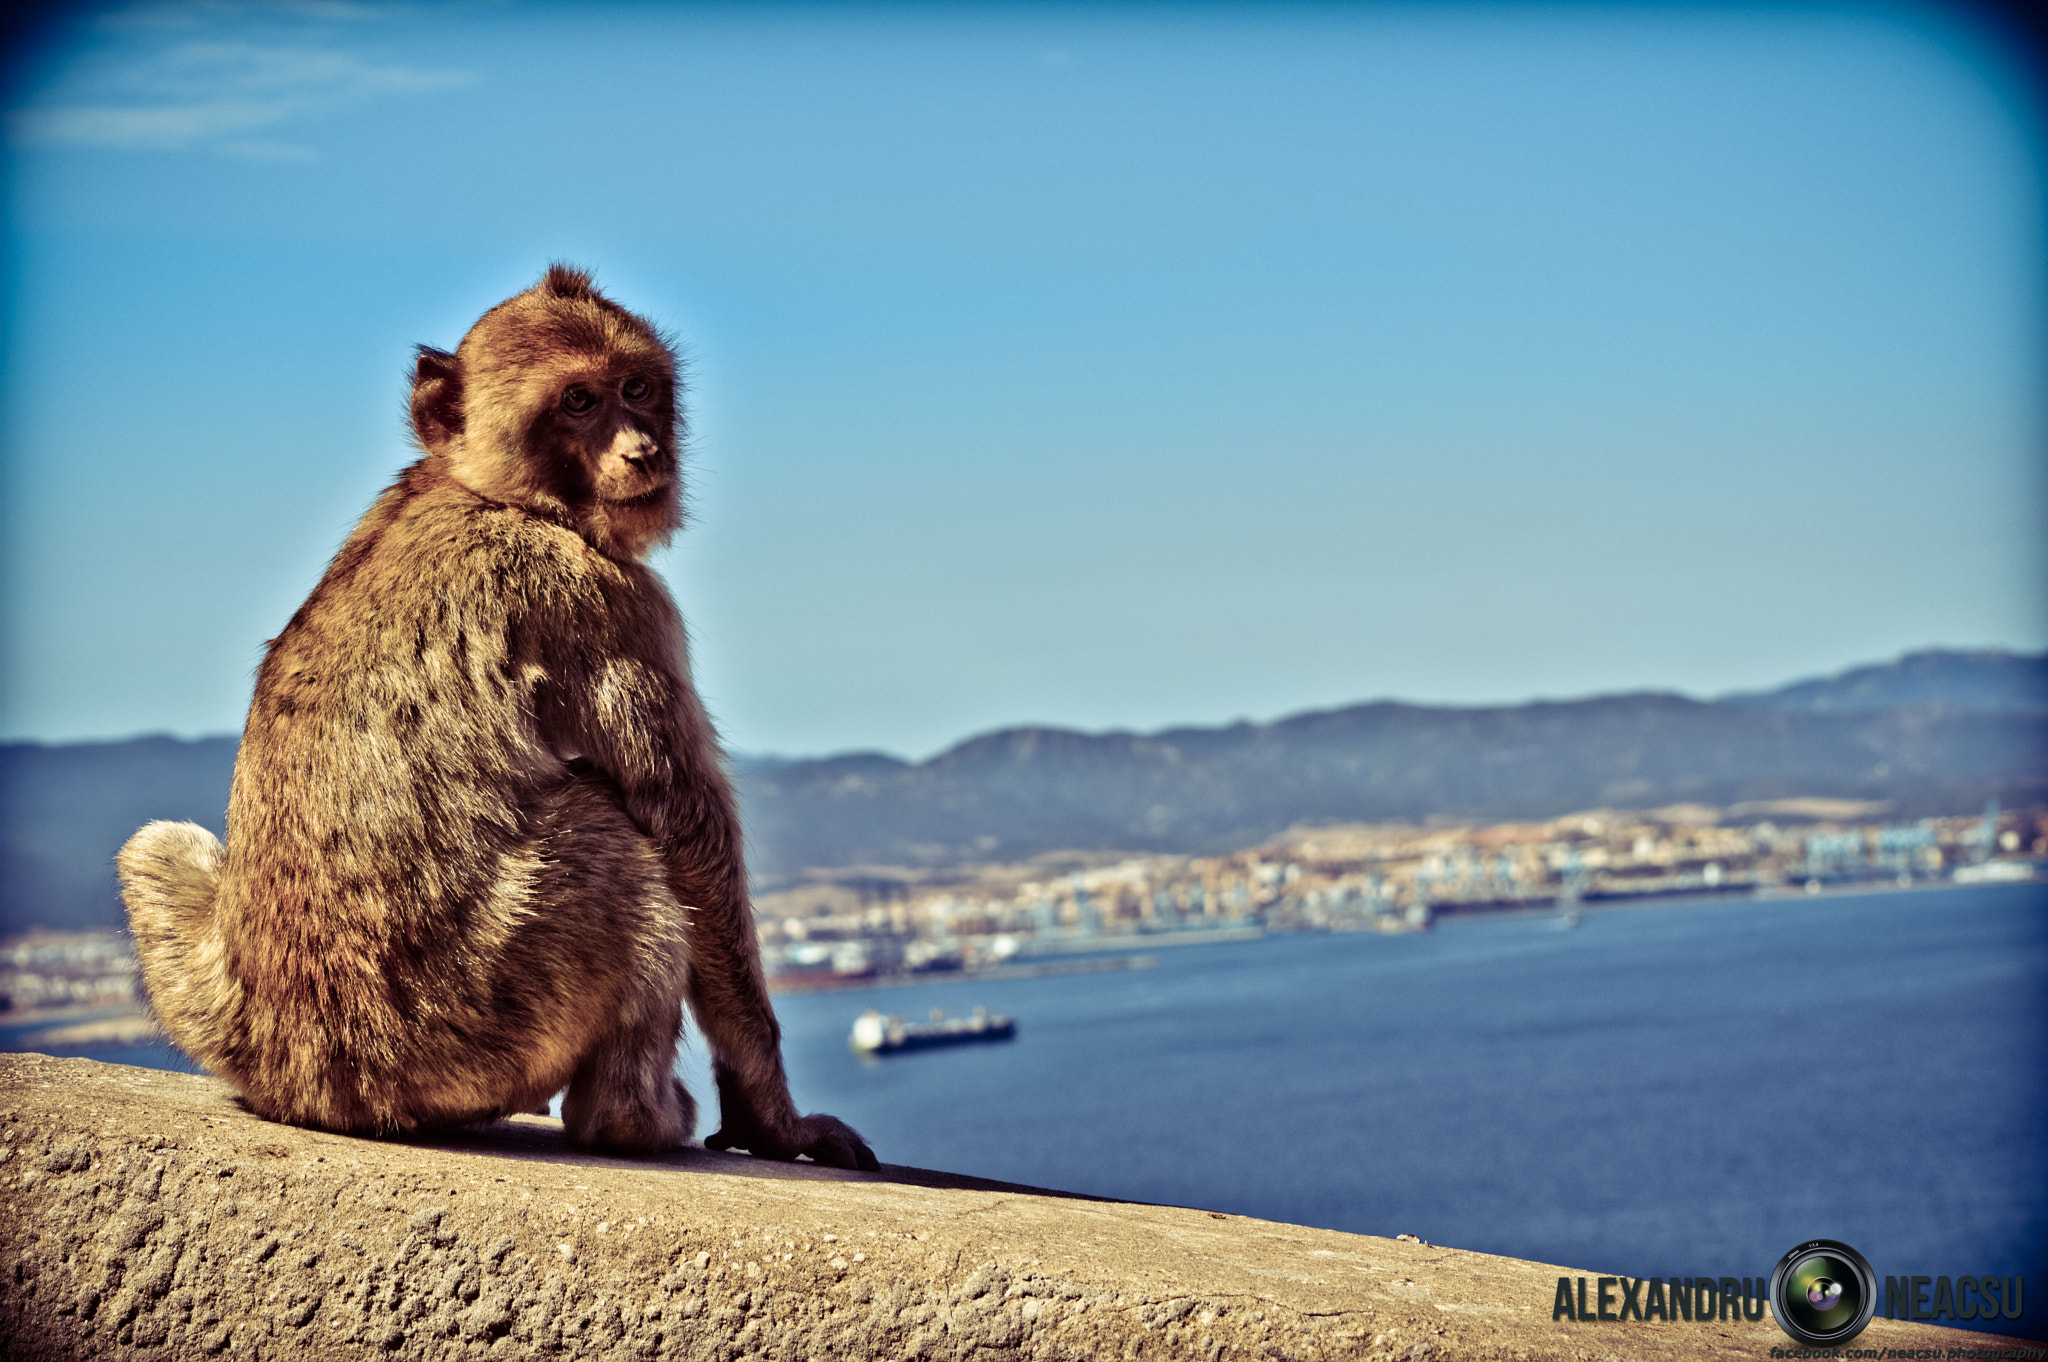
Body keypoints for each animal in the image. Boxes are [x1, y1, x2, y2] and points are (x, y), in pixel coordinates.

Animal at [117, 265, 876, 1169]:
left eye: (637, 388)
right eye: (578, 402)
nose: (644, 450)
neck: (490, 491)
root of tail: (326, 1090)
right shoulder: (610, 602)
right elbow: (687, 832)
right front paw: (775, 1120)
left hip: (235, 1017)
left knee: (155, 845)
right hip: (491, 1008)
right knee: (617, 839)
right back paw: (627, 1119)